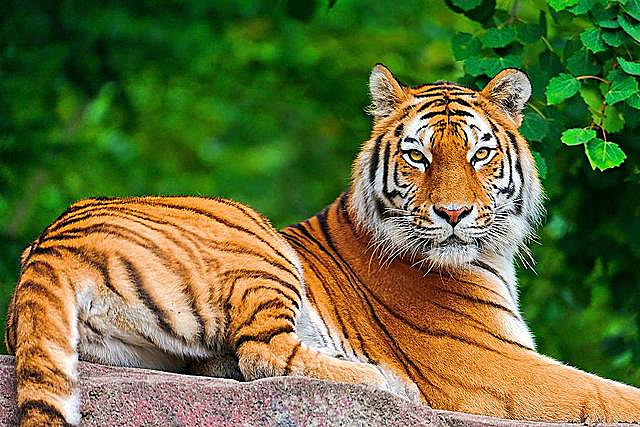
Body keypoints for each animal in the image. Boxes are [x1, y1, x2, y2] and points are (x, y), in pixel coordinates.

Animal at [5, 65, 640, 426]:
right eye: (418, 156)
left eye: (480, 154)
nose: (454, 214)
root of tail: (51, 244)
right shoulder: (487, 364)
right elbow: (607, 395)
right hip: (254, 241)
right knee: (264, 354)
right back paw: (387, 385)